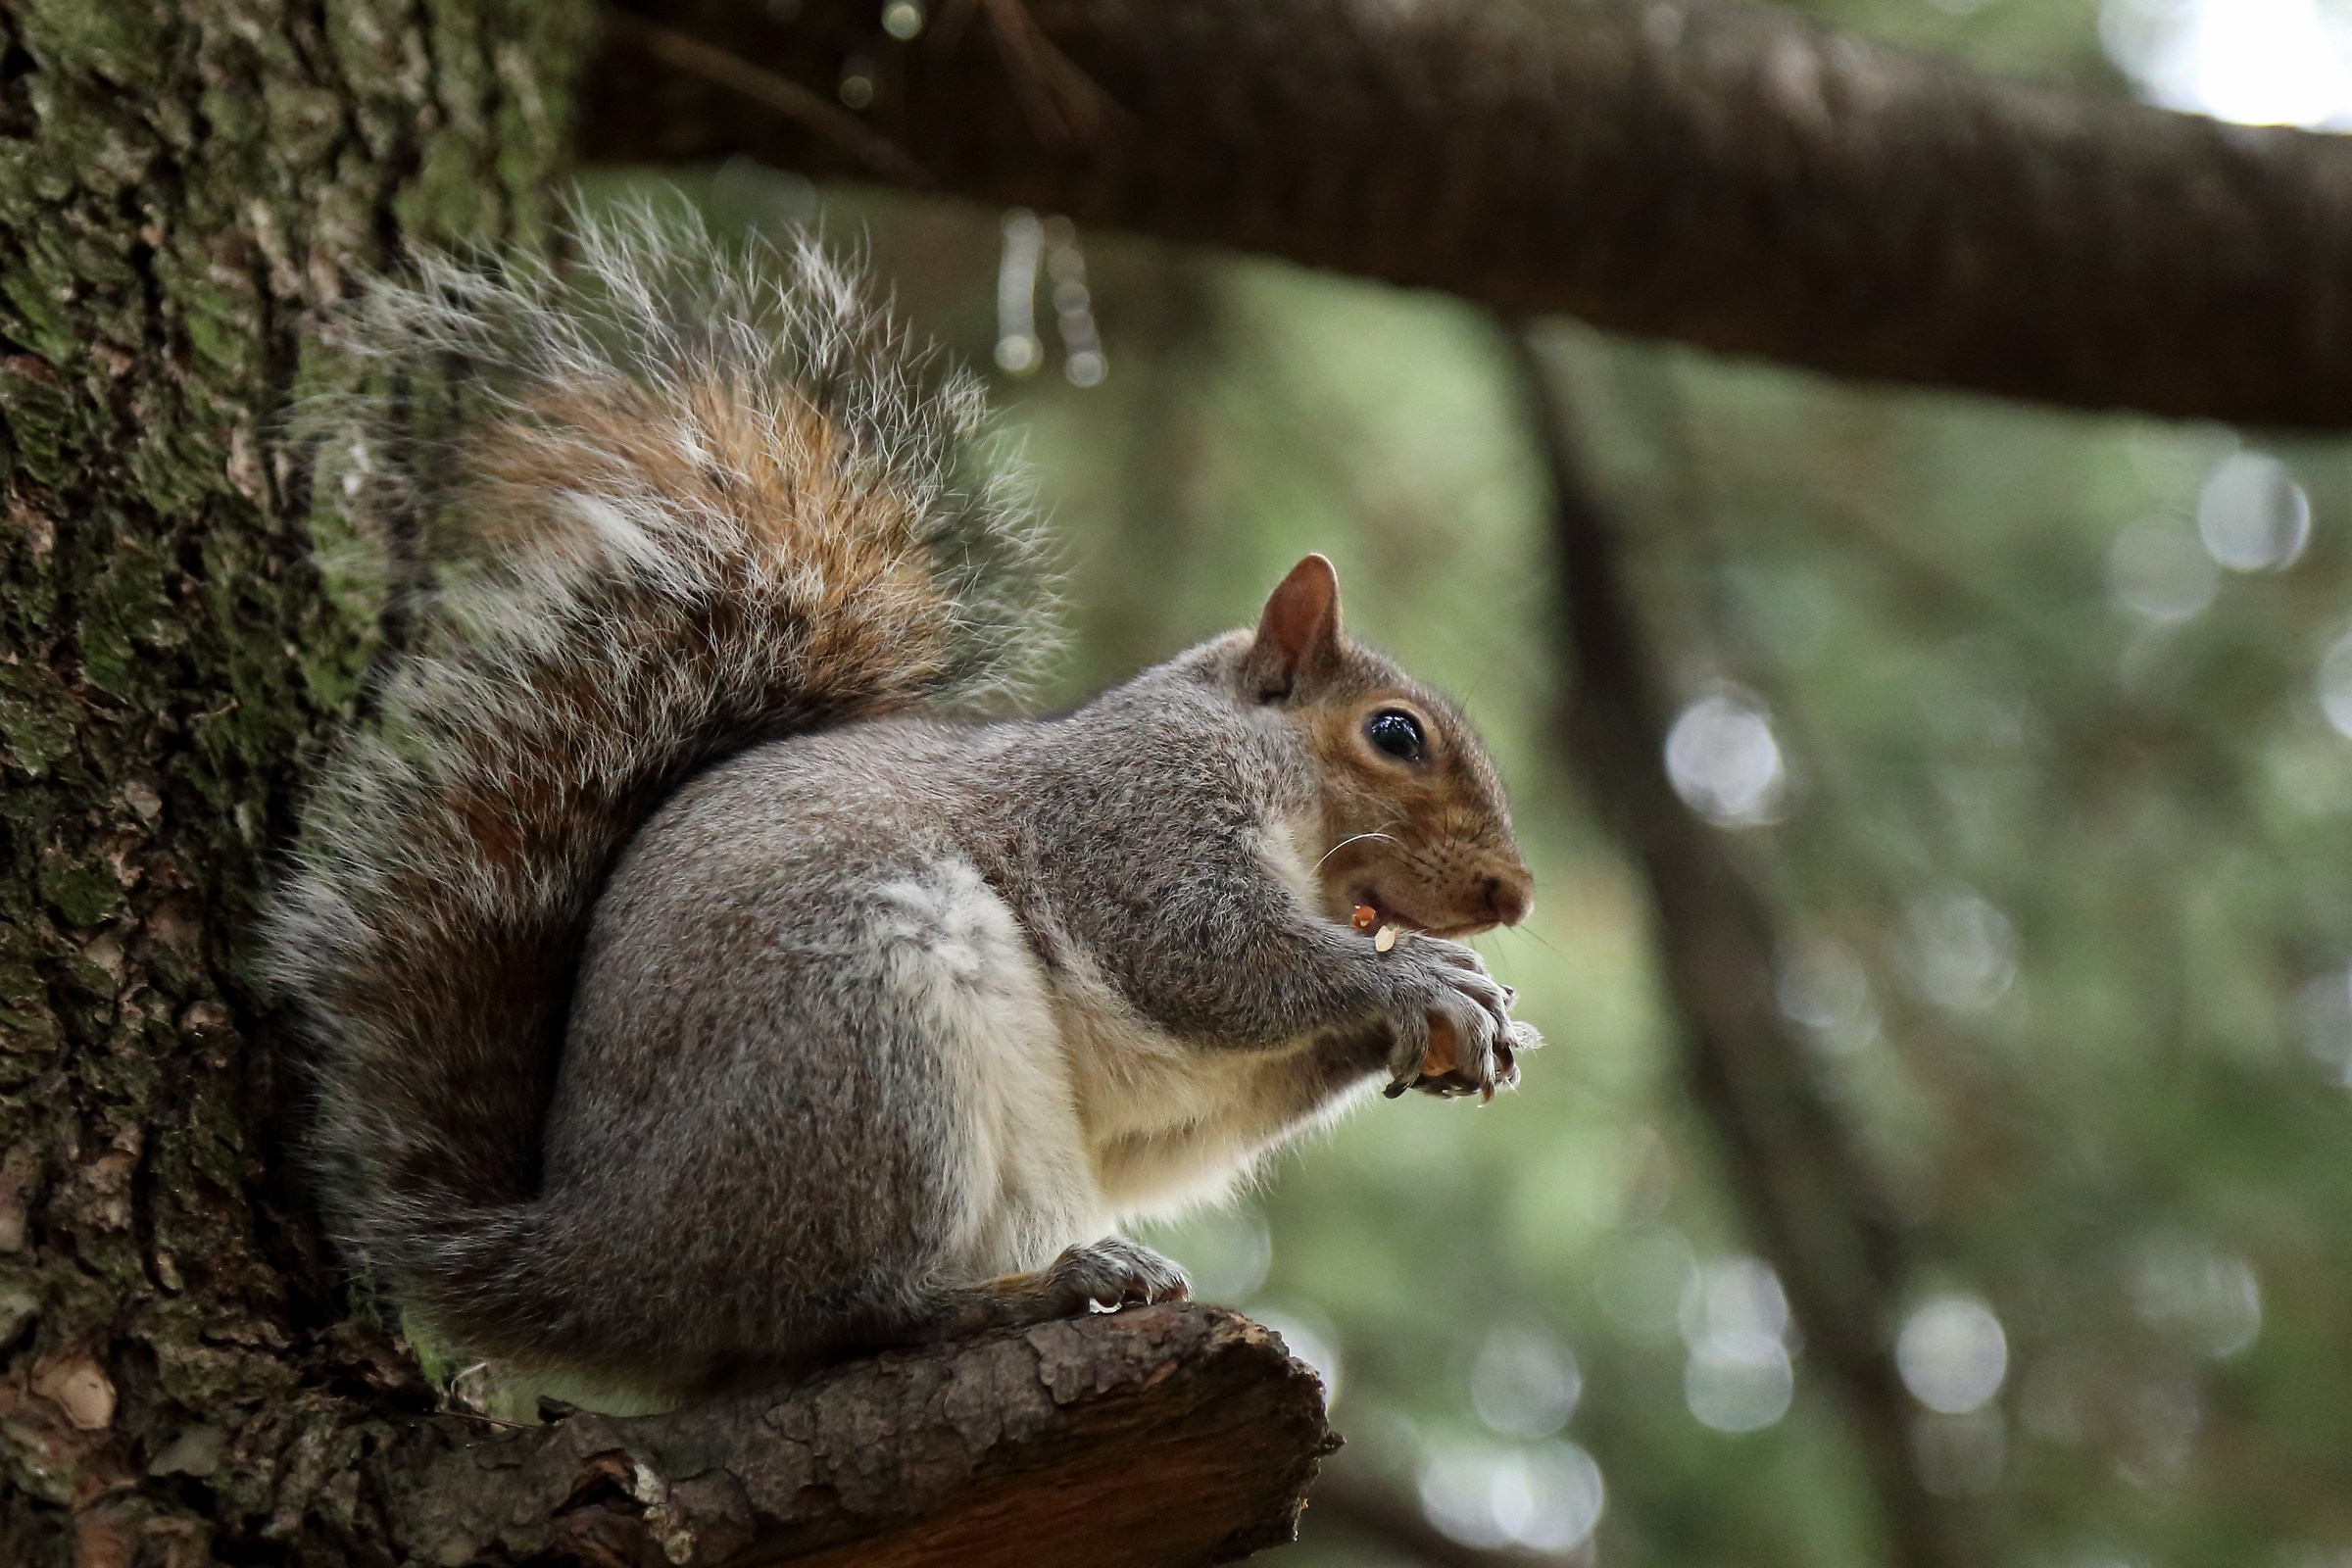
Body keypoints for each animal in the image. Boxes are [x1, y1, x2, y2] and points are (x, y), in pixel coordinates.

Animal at [264, 207, 1539, 1405]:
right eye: (1394, 734)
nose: (1513, 897)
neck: (1272, 788)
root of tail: (599, 1262)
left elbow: (1186, 1103)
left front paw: (1461, 1008)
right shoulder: (1133, 818)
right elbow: (1205, 955)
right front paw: (1413, 982)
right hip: (868, 1038)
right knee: (850, 1311)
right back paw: (1035, 1288)